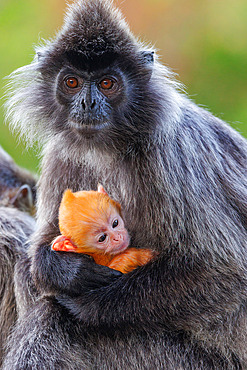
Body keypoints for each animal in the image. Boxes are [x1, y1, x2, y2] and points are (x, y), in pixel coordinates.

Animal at [3, 0, 247, 368]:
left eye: (107, 84)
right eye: (72, 82)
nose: (88, 103)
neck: (107, 147)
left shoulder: (171, 154)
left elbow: (224, 271)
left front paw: (85, 306)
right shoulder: (61, 154)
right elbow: (41, 248)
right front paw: (70, 272)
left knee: (53, 317)